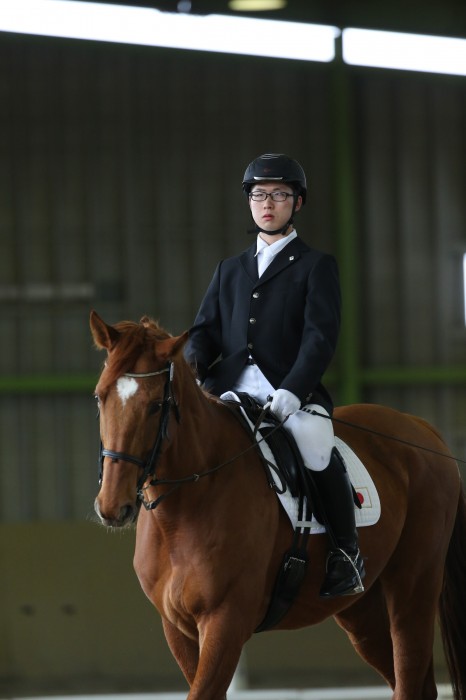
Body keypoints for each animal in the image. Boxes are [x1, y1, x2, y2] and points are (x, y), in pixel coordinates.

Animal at [90, 312, 466, 700]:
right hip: (363, 611)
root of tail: (421, 428)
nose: (112, 506)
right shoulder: (177, 628)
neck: (183, 512)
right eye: (100, 397)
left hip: (413, 586)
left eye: (155, 405)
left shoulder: (226, 621)